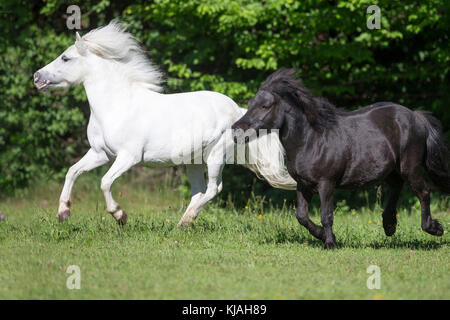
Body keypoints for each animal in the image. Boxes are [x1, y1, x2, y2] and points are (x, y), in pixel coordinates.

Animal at [34, 21, 296, 226]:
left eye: (65, 58)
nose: (37, 77)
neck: (117, 105)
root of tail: (237, 110)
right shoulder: (101, 153)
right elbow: (72, 171)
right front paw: (63, 213)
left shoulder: (128, 157)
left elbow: (105, 182)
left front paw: (120, 215)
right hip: (193, 161)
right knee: (199, 191)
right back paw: (182, 223)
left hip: (215, 156)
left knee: (213, 189)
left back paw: (187, 219)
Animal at [234, 69, 448, 249]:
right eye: (250, 104)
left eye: (265, 106)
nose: (236, 130)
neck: (310, 140)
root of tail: (416, 116)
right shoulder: (303, 185)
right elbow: (301, 216)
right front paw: (323, 236)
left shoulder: (326, 183)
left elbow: (326, 215)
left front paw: (330, 243)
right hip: (392, 170)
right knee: (396, 187)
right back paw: (389, 226)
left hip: (409, 167)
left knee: (423, 192)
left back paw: (434, 228)